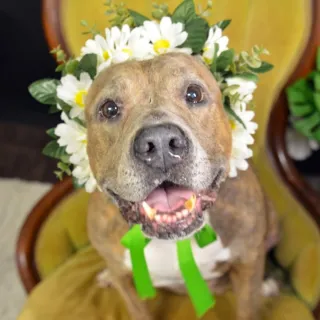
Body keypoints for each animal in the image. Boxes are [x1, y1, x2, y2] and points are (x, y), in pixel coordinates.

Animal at [84, 53, 278, 320]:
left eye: (194, 94)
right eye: (109, 108)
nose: (160, 143)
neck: (174, 240)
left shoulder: (247, 261)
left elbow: (247, 307)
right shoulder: (124, 280)